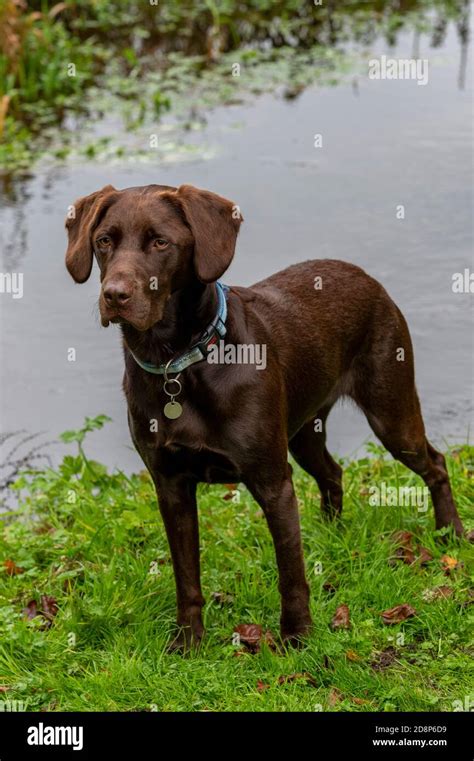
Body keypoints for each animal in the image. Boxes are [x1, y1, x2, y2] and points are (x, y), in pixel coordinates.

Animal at [65, 183, 464, 650]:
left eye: (161, 242)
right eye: (103, 241)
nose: (115, 295)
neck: (180, 365)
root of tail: (365, 276)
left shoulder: (273, 482)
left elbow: (290, 573)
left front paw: (297, 639)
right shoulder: (171, 486)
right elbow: (187, 577)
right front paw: (188, 643)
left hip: (391, 414)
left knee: (435, 463)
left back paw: (451, 534)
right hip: (304, 434)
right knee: (333, 472)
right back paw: (331, 534)